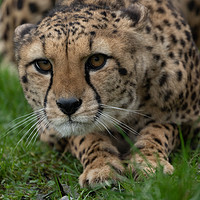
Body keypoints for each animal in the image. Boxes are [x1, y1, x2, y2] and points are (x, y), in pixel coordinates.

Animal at [0, 0, 200, 188]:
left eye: (97, 60)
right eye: (43, 64)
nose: (67, 105)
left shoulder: (188, 119)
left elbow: (158, 130)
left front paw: (149, 163)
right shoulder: (49, 130)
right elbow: (84, 137)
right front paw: (101, 167)